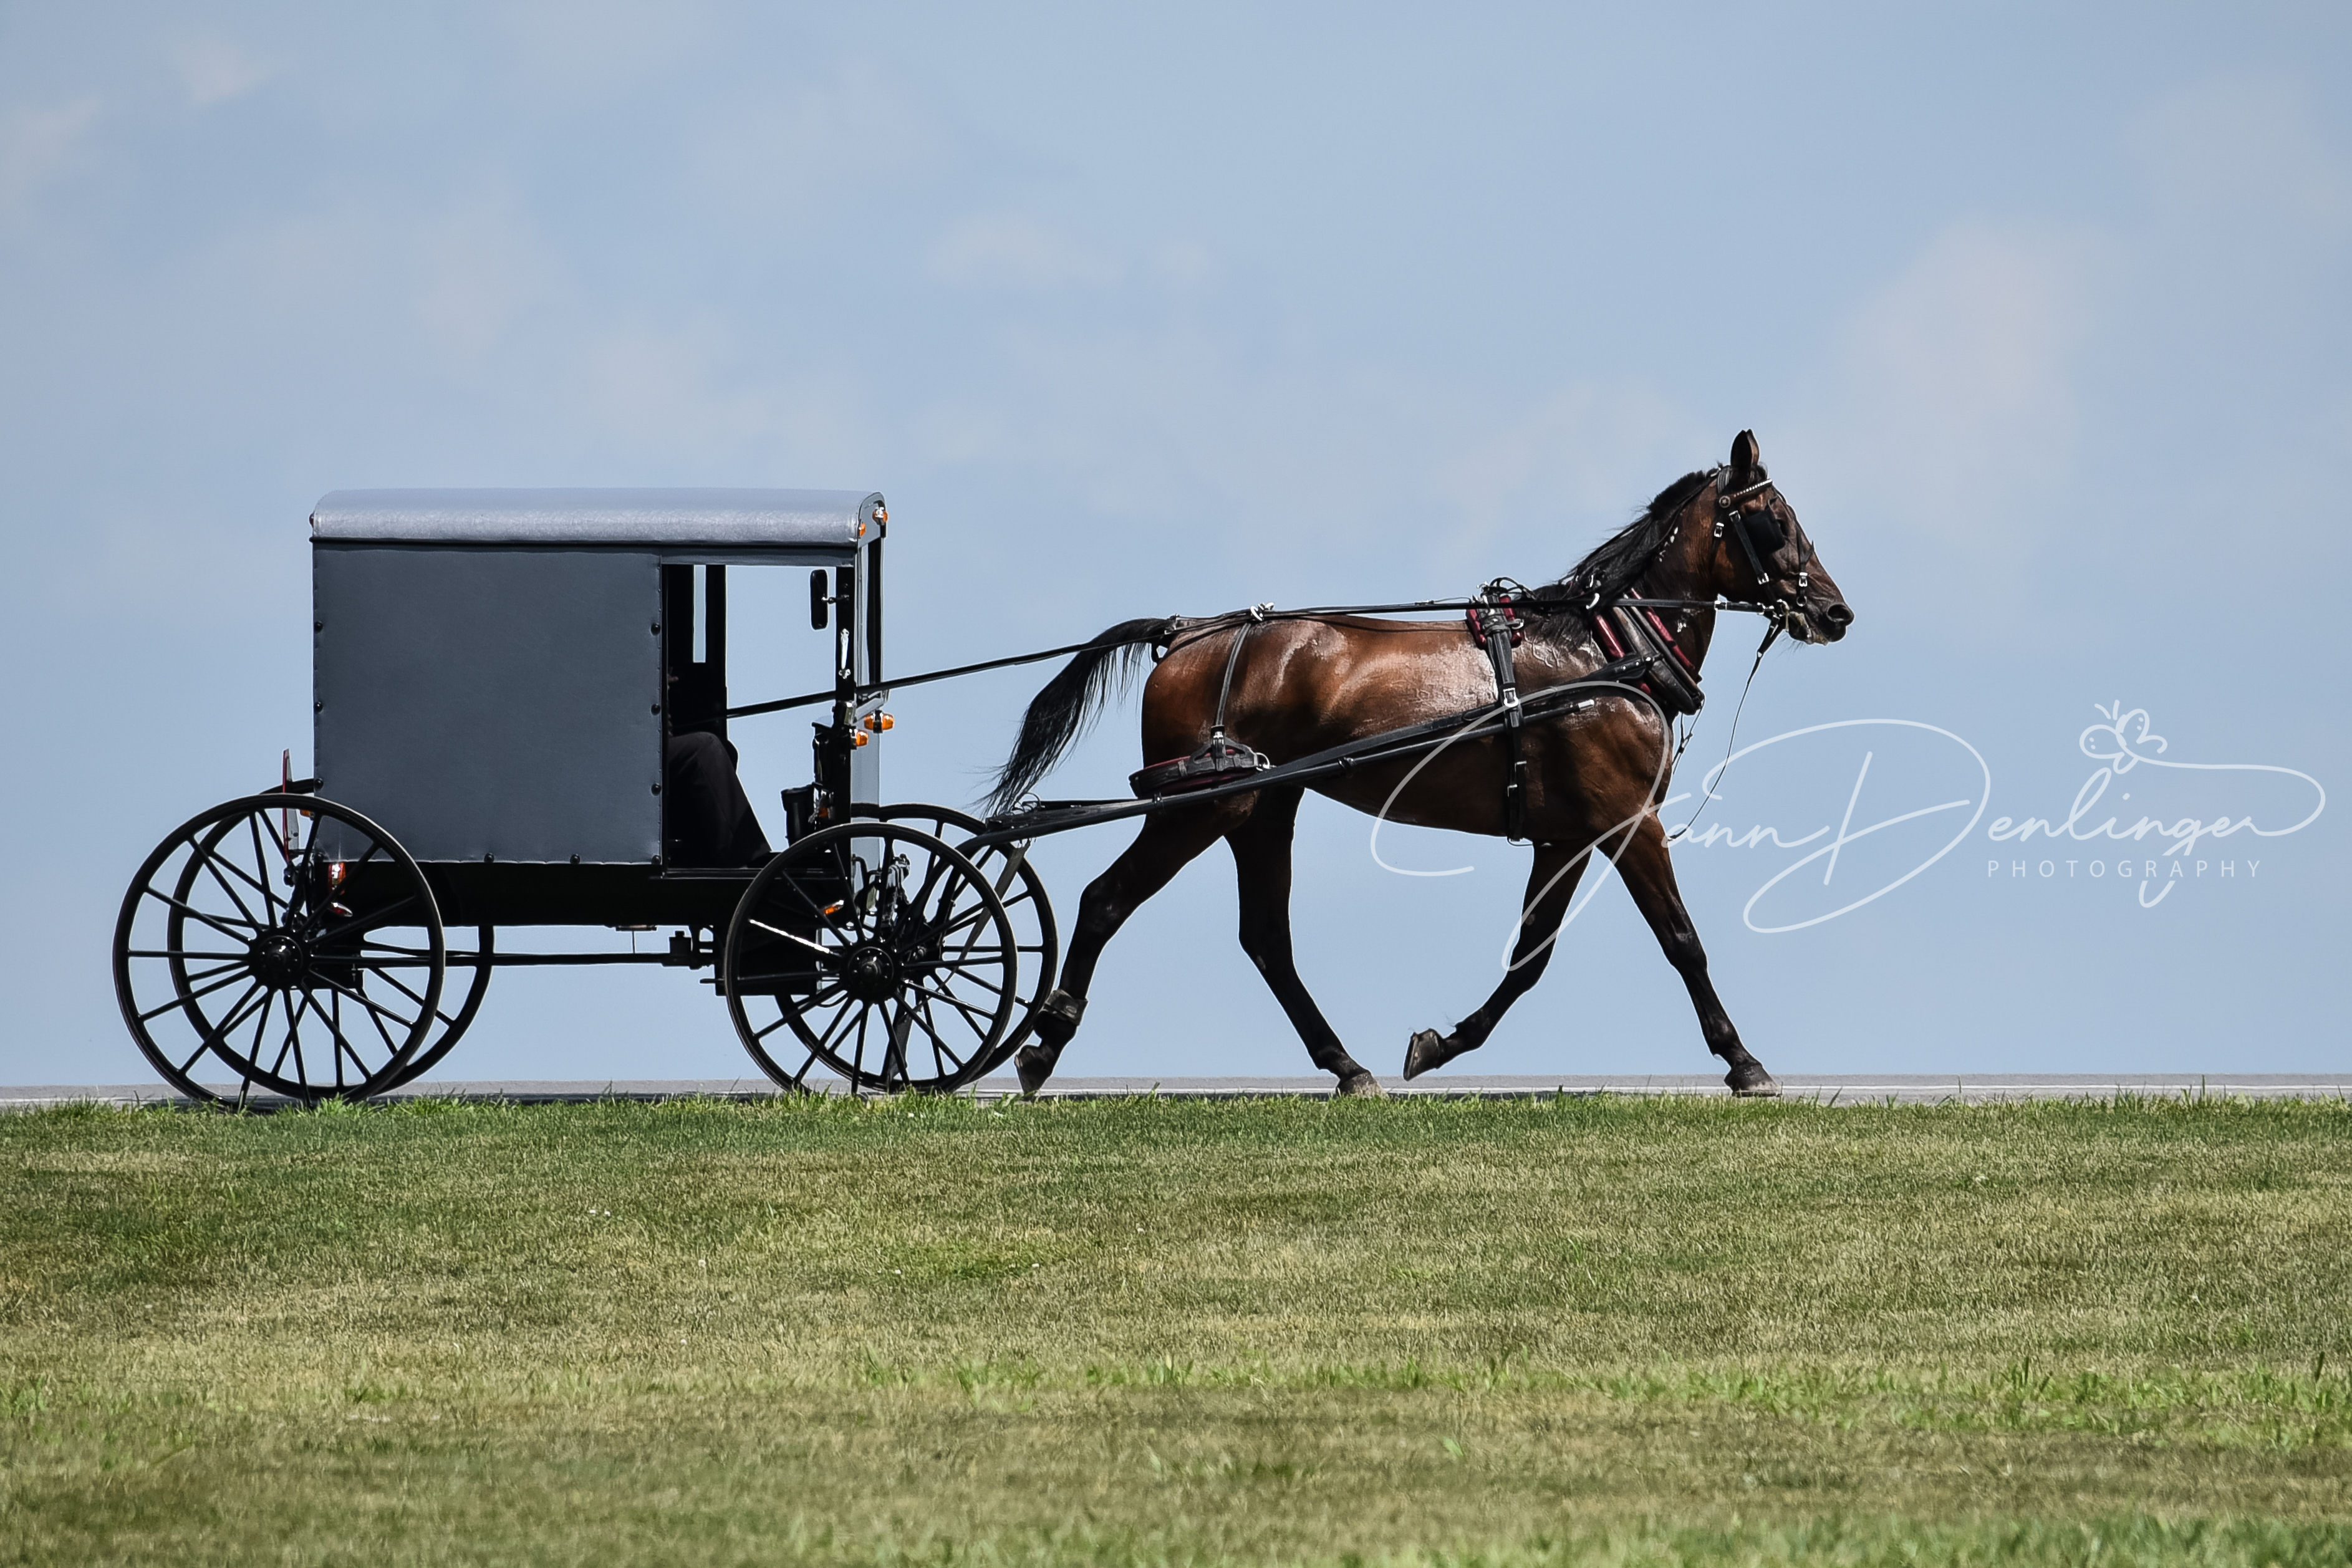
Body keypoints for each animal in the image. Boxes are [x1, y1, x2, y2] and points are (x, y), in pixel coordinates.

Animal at [984, 431, 1853, 1097]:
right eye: (1773, 519)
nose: (1833, 611)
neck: (1604, 652)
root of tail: (1188, 632)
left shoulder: (1564, 838)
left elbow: (1529, 958)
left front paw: (1441, 1043)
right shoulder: (1627, 822)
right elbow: (1682, 940)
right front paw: (1743, 1062)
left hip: (1262, 808)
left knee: (1265, 938)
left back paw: (1345, 1064)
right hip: (1205, 805)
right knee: (1104, 900)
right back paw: (1046, 1041)